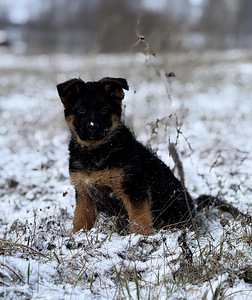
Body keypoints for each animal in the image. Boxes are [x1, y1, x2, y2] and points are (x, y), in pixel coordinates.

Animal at [57, 77, 195, 234]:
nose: (92, 127)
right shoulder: (84, 192)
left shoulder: (133, 188)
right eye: (81, 109)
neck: (96, 152)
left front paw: (140, 237)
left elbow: (139, 219)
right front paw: (75, 237)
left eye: (104, 110)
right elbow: (80, 220)